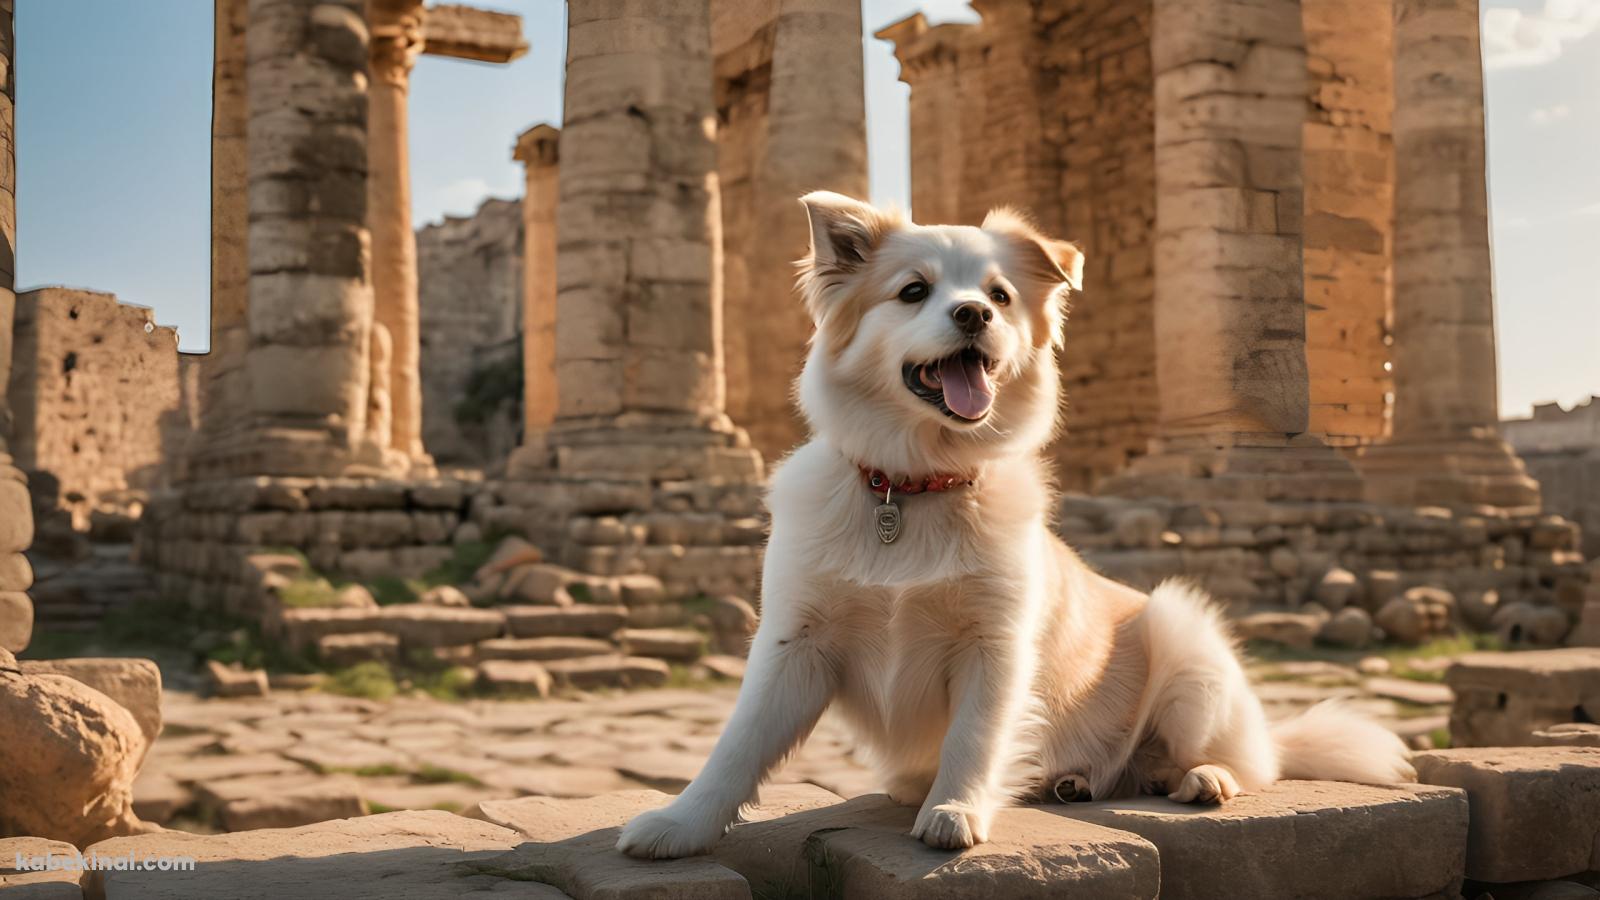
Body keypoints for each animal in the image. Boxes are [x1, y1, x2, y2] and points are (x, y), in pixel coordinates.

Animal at [611, 188, 1414, 851]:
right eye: (913, 292)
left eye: (999, 294)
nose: (975, 314)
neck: (913, 486)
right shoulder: (794, 643)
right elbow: (737, 745)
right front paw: (679, 825)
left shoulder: (995, 643)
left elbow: (974, 735)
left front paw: (955, 811)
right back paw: (1072, 782)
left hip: (1184, 638)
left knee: (1242, 762)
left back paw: (1197, 778)